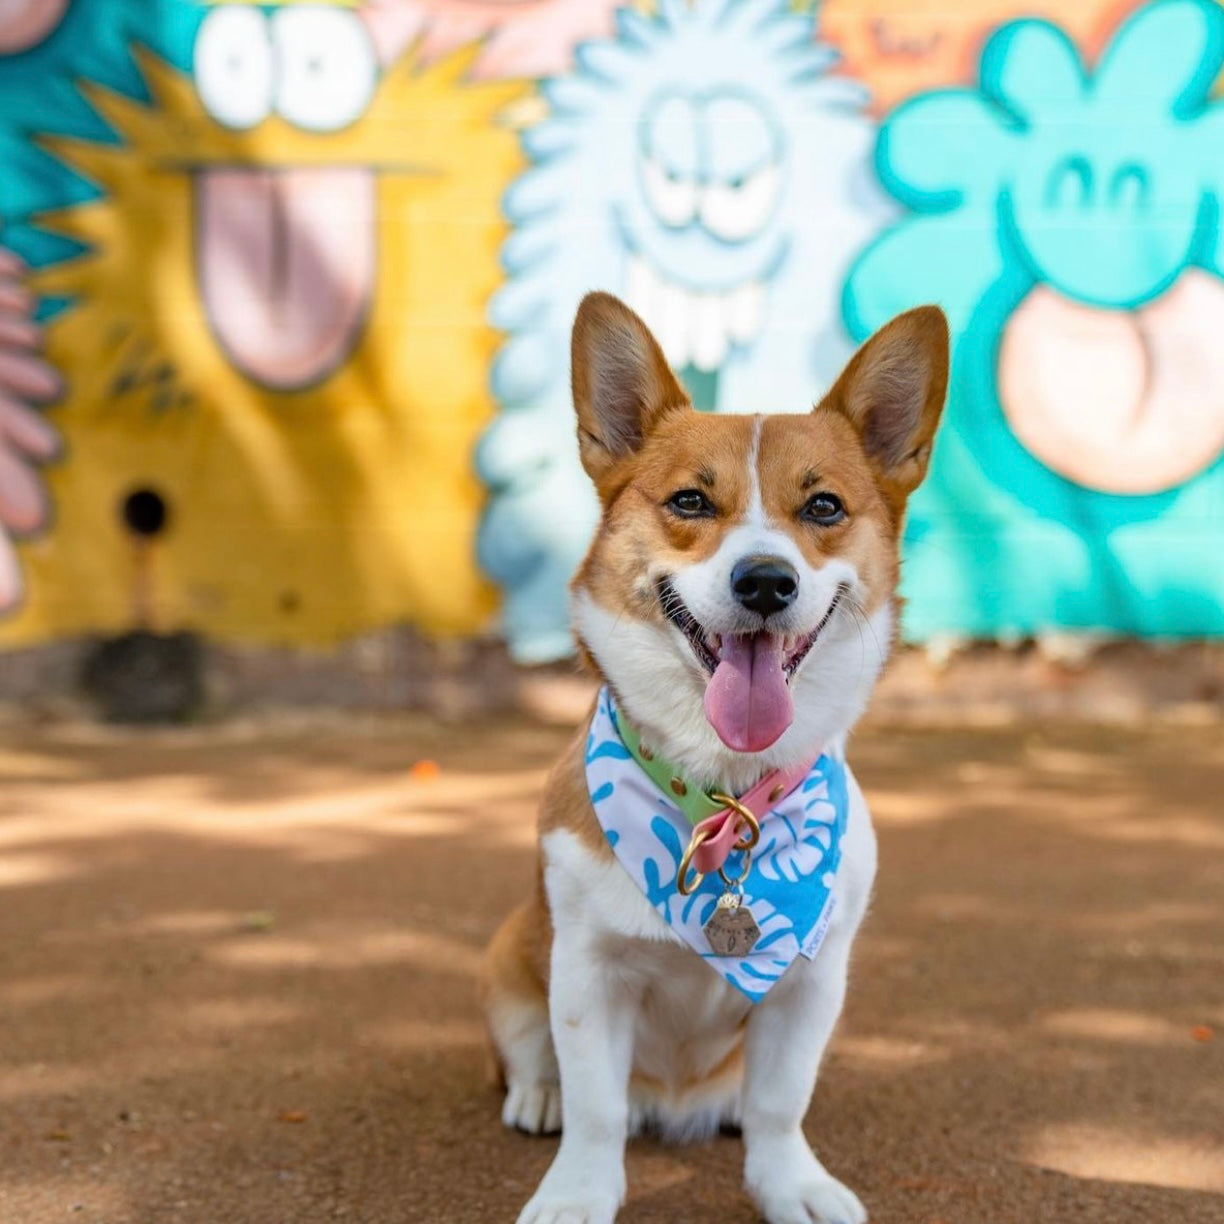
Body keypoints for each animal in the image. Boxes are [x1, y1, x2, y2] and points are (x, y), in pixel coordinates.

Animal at [482, 288, 949, 1224]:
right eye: (692, 501)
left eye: (824, 508)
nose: (765, 582)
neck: (722, 794)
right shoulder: (585, 974)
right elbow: (595, 1107)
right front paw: (578, 1191)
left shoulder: (811, 979)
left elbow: (779, 1101)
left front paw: (790, 1184)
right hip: (512, 950)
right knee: (530, 1052)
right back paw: (537, 1093)